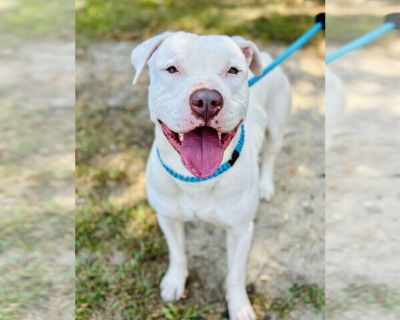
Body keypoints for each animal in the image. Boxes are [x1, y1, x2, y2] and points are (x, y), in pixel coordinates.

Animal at [131, 30, 290, 320]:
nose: (206, 99)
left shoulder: (241, 230)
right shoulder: (168, 218)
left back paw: (266, 186)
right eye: (172, 69)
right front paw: (175, 281)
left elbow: (235, 275)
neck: (197, 179)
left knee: (271, 156)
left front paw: (239, 307)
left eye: (233, 70)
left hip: (276, 127)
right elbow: (177, 253)